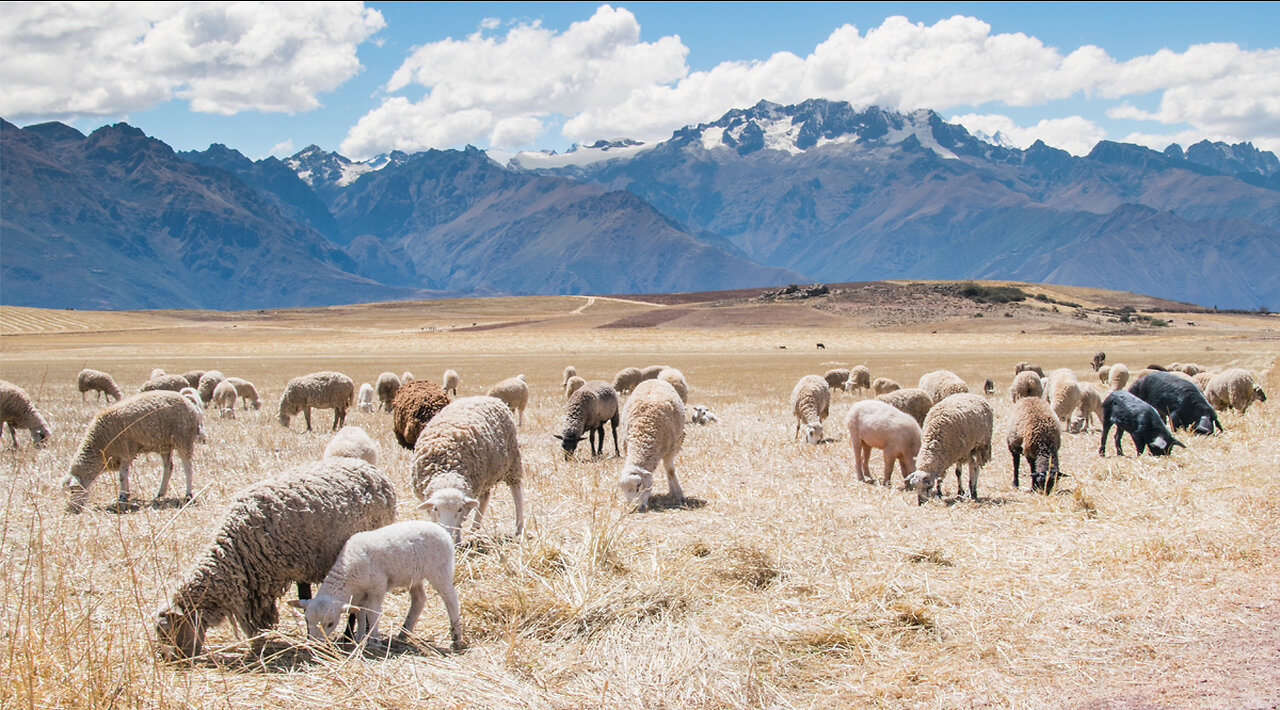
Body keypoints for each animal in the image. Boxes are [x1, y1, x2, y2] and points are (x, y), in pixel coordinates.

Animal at [64, 388, 204, 506]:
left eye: (72, 491)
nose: (72, 508)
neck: (98, 443)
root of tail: (190, 404)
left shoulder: (127, 450)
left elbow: (122, 475)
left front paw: (122, 497)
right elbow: (124, 474)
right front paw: (126, 495)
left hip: (183, 439)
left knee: (188, 468)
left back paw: (188, 495)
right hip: (164, 444)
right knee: (168, 467)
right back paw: (159, 494)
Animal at [154, 455, 394, 660]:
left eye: (169, 630)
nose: (171, 659)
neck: (238, 550)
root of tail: (371, 469)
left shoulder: (300, 565)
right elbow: (304, 600)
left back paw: (348, 635)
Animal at [288, 521, 463, 649]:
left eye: (330, 623)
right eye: (307, 620)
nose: (316, 645)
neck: (347, 571)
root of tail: (441, 530)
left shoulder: (376, 589)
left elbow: (373, 614)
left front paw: (374, 640)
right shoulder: (360, 596)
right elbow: (360, 615)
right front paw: (359, 639)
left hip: (440, 569)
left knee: (450, 598)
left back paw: (456, 636)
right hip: (414, 576)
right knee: (419, 599)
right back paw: (404, 632)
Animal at [414, 396, 524, 547]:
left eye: (459, 509)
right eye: (436, 509)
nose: (448, 535)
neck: (446, 471)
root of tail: (488, 397)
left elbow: (459, 523)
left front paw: (457, 541)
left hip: (512, 460)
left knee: (516, 491)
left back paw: (519, 528)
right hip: (485, 475)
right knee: (484, 498)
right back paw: (474, 529)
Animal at [614, 378, 686, 511]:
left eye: (639, 486)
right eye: (623, 490)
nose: (634, 508)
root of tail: (655, 379)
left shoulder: (670, 450)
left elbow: (670, 471)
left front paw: (679, 494)